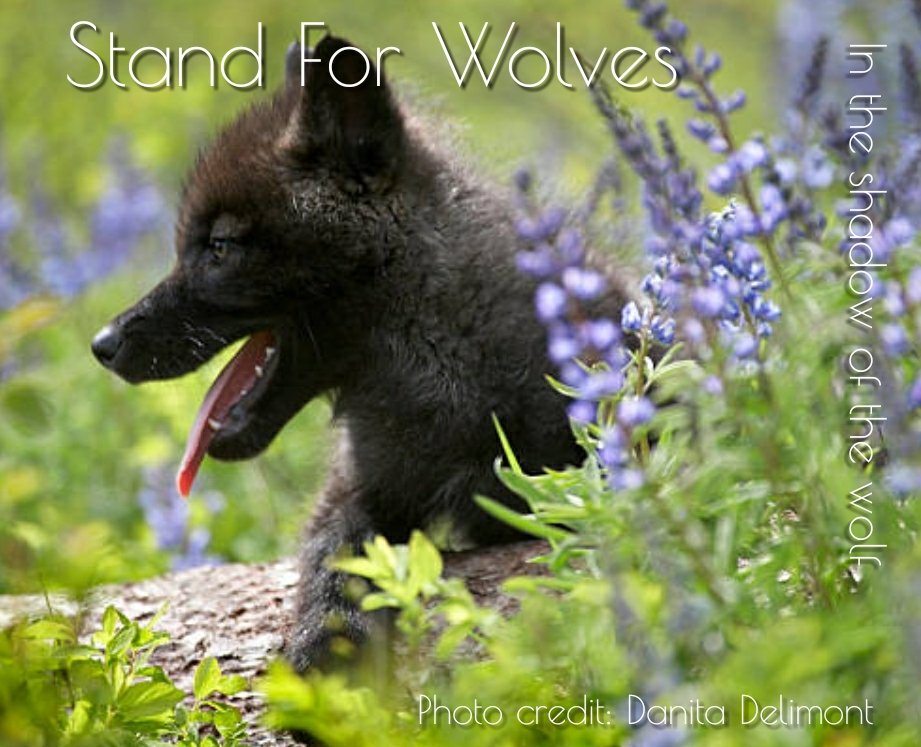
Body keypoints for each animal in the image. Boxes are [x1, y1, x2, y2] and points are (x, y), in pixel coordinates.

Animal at [91, 35, 633, 672]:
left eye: (219, 246)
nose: (103, 344)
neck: (436, 367)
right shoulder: (361, 487)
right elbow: (335, 549)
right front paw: (327, 635)